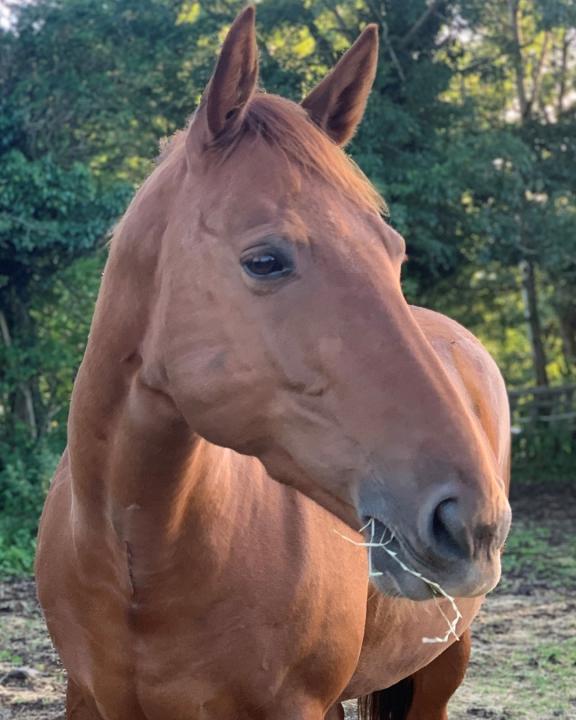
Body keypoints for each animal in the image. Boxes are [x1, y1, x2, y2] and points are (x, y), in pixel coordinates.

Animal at [36, 7, 511, 720]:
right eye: (265, 260)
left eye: (394, 252)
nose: (473, 522)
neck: (137, 563)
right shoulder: (86, 698)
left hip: (441, 664)